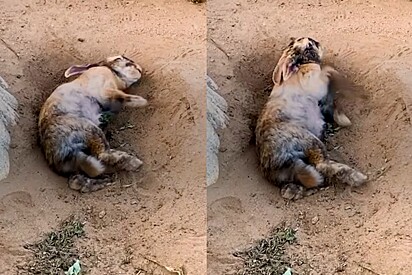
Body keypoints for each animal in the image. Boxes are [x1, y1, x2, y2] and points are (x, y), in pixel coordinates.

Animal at [38, 55, 148, 193]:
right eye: (120, 58)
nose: (137, 67)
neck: (112, 71)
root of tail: (56, 156)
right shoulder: (107, 90)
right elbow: (124, 97)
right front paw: (143, 101)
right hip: (89, 128)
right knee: (102, 155)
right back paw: (133, 162)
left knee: (77, 181)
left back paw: (105, 181)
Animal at [256, 37, 368, 201]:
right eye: (308, 47)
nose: (316, 42)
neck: (300, 67)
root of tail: (273, 162)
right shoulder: (318, 82)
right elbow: (328, 70)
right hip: (309, 140)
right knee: (321, 164)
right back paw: (359, 177)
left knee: (292, 189)